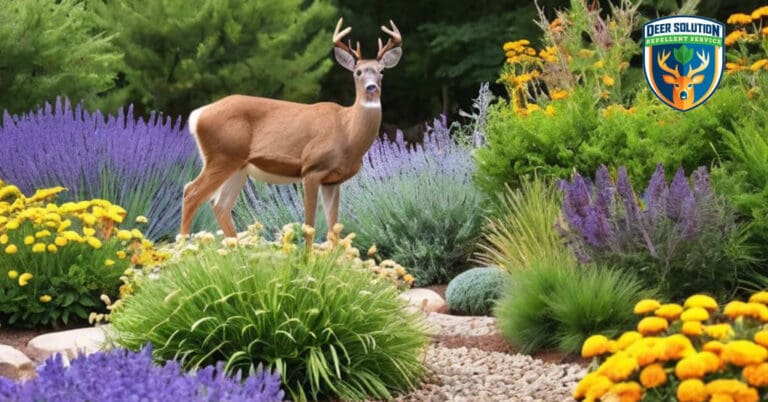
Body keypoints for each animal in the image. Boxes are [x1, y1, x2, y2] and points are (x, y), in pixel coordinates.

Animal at [180, 18, 402, 243]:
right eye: (358, 72)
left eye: (381, 71)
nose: (371, 87)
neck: (347, 133)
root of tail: (197, 115)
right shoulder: (311, 168)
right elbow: (309, 225)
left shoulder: (333, 181)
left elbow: (334, 229)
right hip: (221, 156)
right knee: (191, 192)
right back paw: (183, 246)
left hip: (237, 166)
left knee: (220, 205)